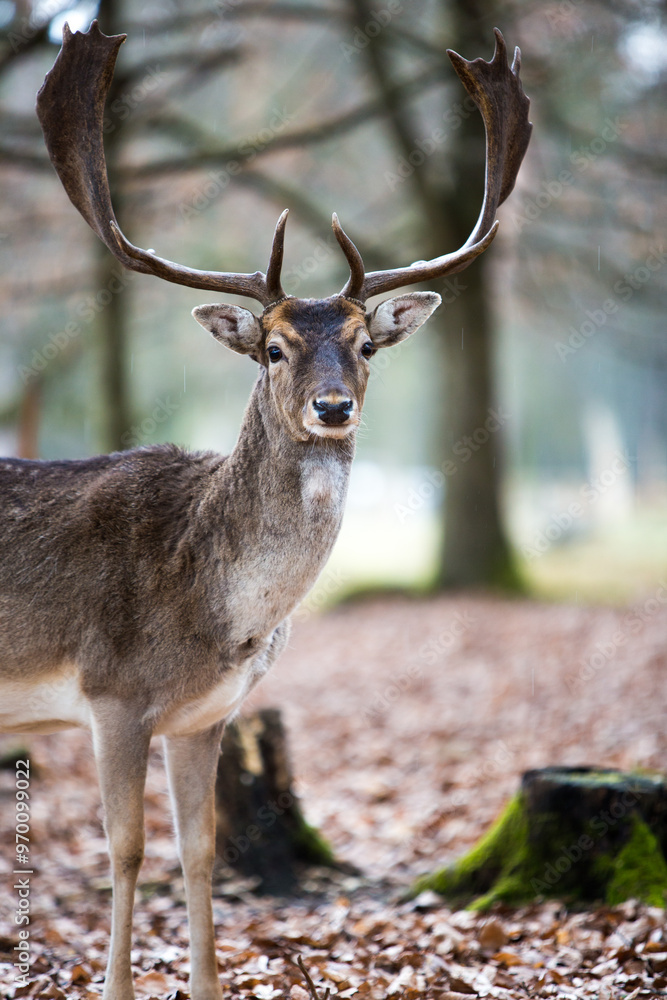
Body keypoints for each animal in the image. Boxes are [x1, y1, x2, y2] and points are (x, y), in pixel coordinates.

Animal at [0, 20, 531, 1000]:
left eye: (366, 344)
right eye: (274, 347)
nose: (333, 406)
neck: (216, 610)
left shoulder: (206, 714)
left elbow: (202, 854)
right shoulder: (111, 691)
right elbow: (127, 853)